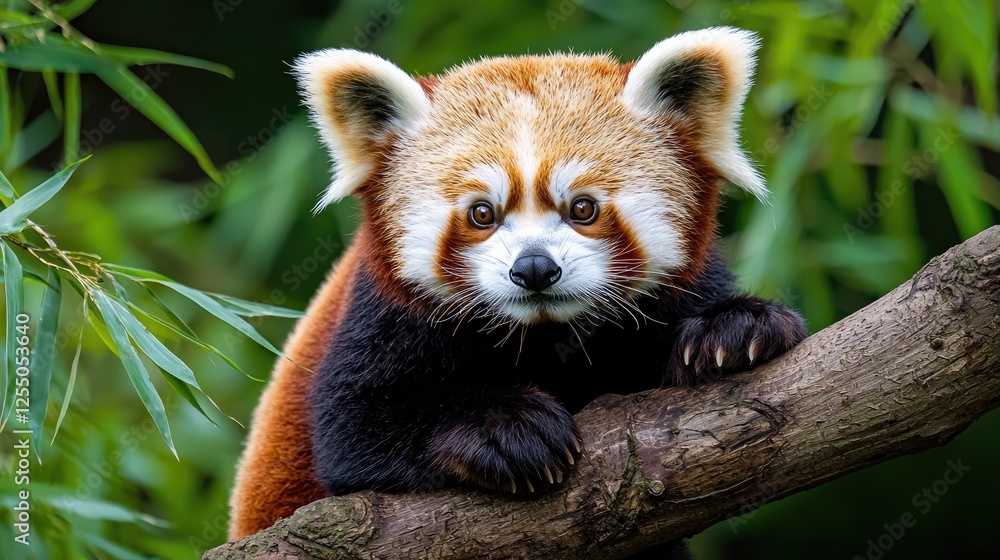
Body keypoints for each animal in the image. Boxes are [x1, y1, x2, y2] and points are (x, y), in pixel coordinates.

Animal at [227, 26, 808, 556]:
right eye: (482, 213)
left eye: (583, 208)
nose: (533, 268)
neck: (543, 335)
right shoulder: (381, 319)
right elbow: (353, 431)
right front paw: (502, 428)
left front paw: (732, 330)